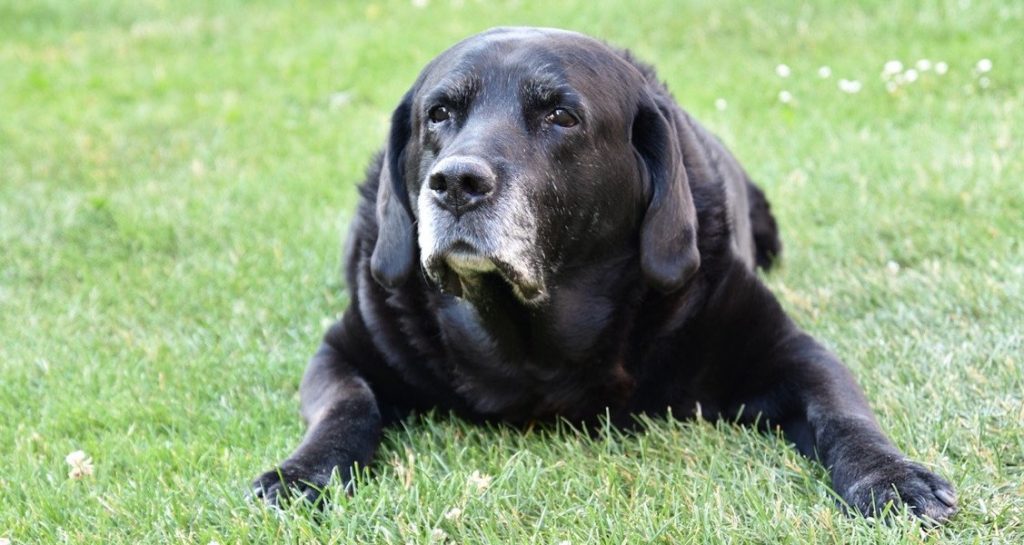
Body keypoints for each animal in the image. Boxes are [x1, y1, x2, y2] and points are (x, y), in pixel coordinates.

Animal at [251, 27, 954, 522]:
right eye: (439, 114)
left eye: (561, 116)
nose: (454, 183)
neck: (531, 341)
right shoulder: (344, 349)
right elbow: (347, 404)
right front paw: (301, 474)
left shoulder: (787, 349)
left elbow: (841, 411)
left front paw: (892, 477)